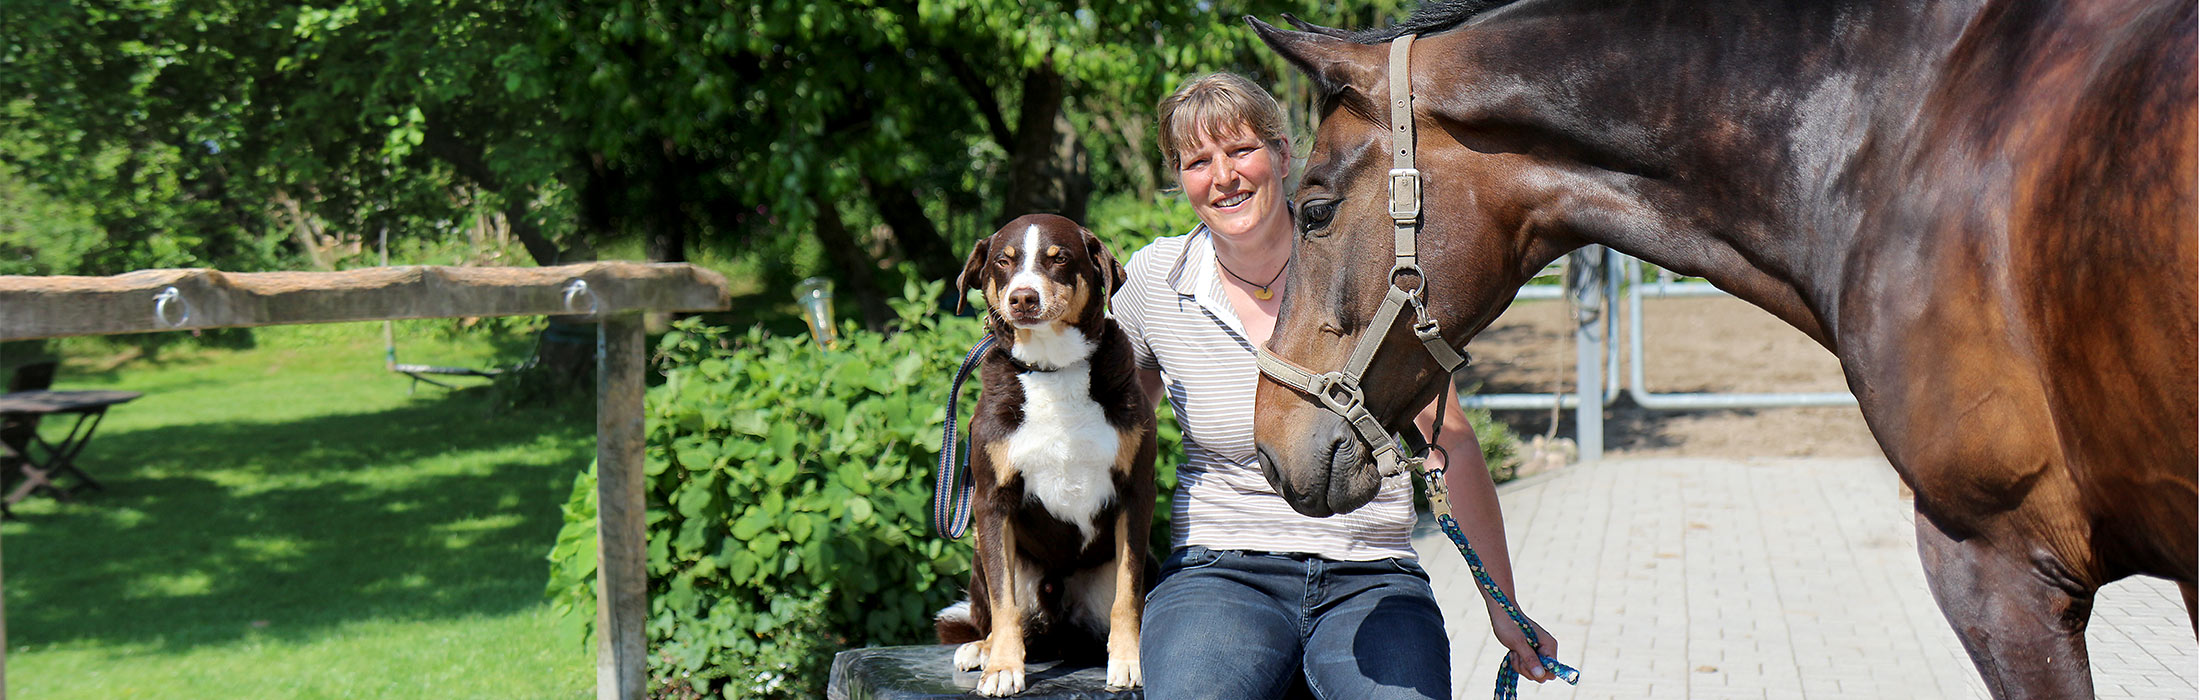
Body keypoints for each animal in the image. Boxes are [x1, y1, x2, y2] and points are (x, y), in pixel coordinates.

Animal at [932, 213, 1161, 695]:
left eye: (1059, 259)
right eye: (1004, 261)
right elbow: (1003, 601)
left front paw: (1128, 660)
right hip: (981, 548)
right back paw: (981, 649)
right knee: (1002, 612)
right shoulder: (992, 500)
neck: (1054, 370)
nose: (1023, 297)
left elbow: (1128, 593)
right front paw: (1003, 667)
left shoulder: (1136, 493)